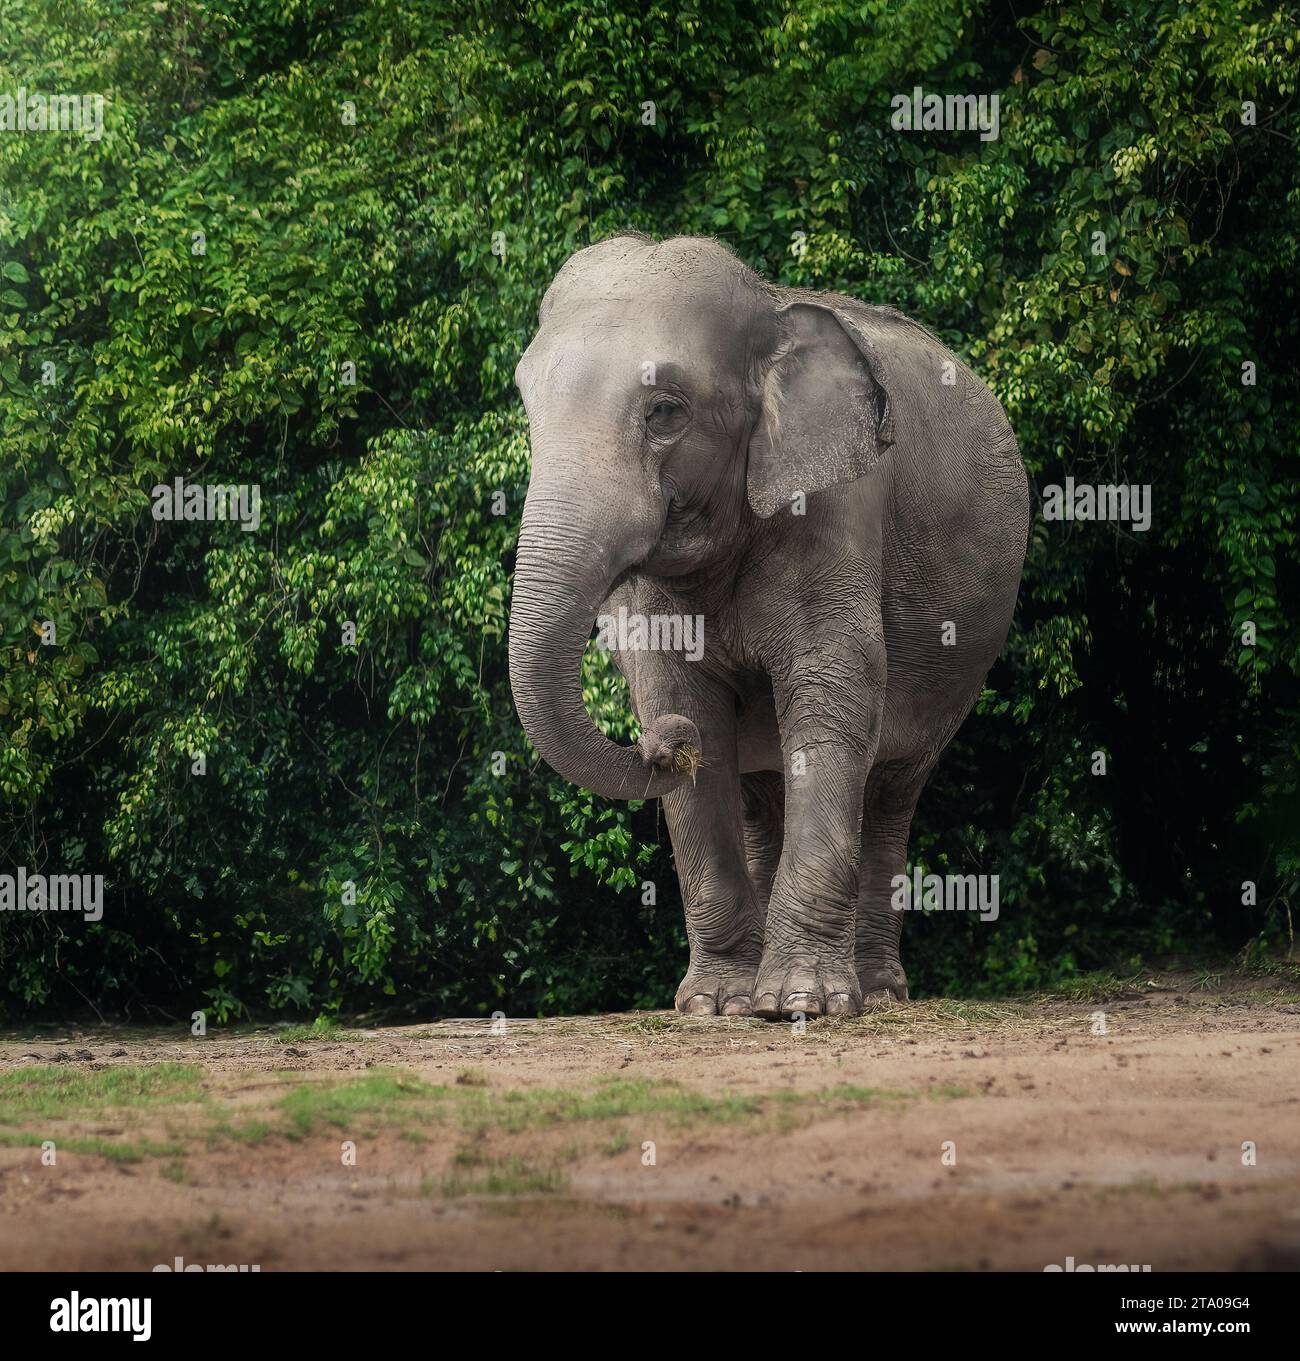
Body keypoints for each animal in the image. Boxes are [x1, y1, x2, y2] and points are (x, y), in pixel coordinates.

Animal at [509, 234, 1029, 1023]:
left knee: (892, 788)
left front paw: (802, 1003)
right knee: (761, 795)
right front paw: (713, 1005)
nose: (665, 747)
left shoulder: (840, 506)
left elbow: (833, 691)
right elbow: (680, 696)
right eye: (528, 403)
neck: (768, 307)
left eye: (666, 410)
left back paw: (877, 992)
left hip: (961, 662)